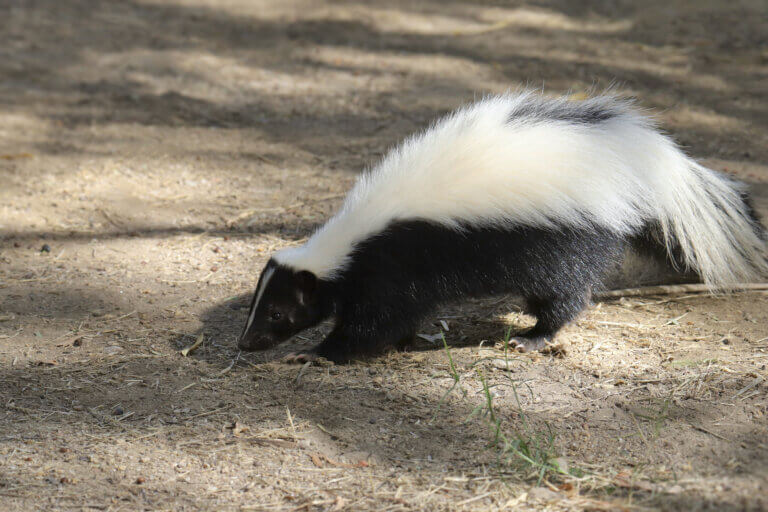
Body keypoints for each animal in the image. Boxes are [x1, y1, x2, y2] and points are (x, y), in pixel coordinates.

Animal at [237, 93, 764, 364]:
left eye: (279, 313)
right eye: (256, 307)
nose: (246, 342)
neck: (350, 241)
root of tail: (634, 156)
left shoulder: (392, 267)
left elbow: (374, 321)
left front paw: (320, 353)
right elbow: (394, 319)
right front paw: (404, 343)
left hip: (568, 239)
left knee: (563, 294)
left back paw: (533, 337)